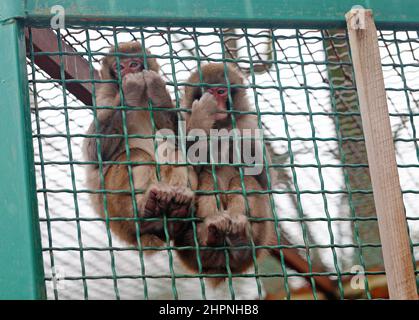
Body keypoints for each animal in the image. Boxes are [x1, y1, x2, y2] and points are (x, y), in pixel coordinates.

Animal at [84, 42, 199, 248]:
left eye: (134, 64)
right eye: (119, 67)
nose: (128, 72)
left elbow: (183, 143)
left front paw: (157, 89)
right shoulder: (104, 97)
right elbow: (93, 154)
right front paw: (130, 89)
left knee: (175, 151)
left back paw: (177, 207)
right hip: (113, 205)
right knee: (137, 155)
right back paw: (144, 213)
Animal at [172, 63, 278, 282]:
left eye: (221, 91)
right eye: (209, 91)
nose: (217, 104)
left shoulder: (249, 124)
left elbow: (266, 180)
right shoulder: (183, 121)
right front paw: (202, 116)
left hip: (261, 234)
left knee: (245, 179)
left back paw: (238, 234)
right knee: (207, 176)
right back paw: (212, 232)